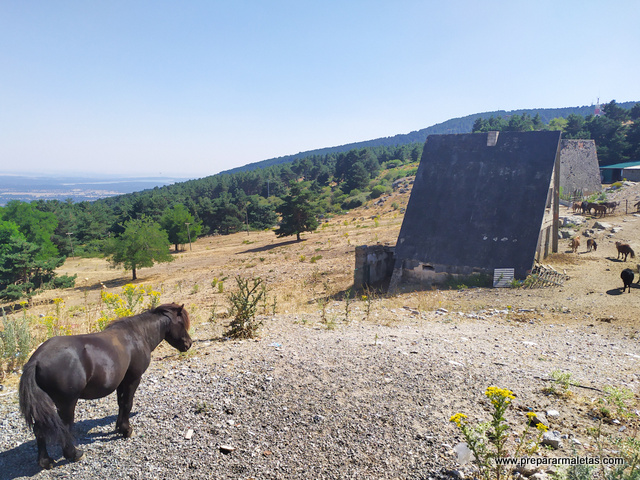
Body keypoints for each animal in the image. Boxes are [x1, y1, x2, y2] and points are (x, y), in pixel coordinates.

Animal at [18, 304, 191, 468]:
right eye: (181, 323)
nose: (189, 344)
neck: (136, 335)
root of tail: (36, 360)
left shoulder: (122, 381)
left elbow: (121, 403)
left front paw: (119, 427)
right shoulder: (133, 379)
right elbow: (128, 404)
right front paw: (126, 430)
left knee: (39, 430)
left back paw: (45, 461)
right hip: (66, 403)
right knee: (64, 428)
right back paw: (74, 454)